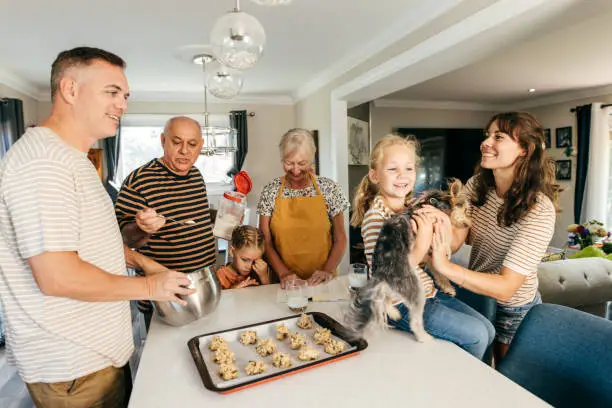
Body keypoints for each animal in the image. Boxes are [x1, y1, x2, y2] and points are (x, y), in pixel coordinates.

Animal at [344, 178, 468, 342]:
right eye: (465, 210)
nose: (467, 225)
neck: (437, 201)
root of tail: (383, 273)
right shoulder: (435, 231)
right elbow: (445, 240)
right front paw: (447, 251)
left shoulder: (430, 253)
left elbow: (438, 270)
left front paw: (447, 287)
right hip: (415, 289)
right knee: (414, 321)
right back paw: (424, 337)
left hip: (392, 287)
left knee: (385, 299)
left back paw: (393, 312)